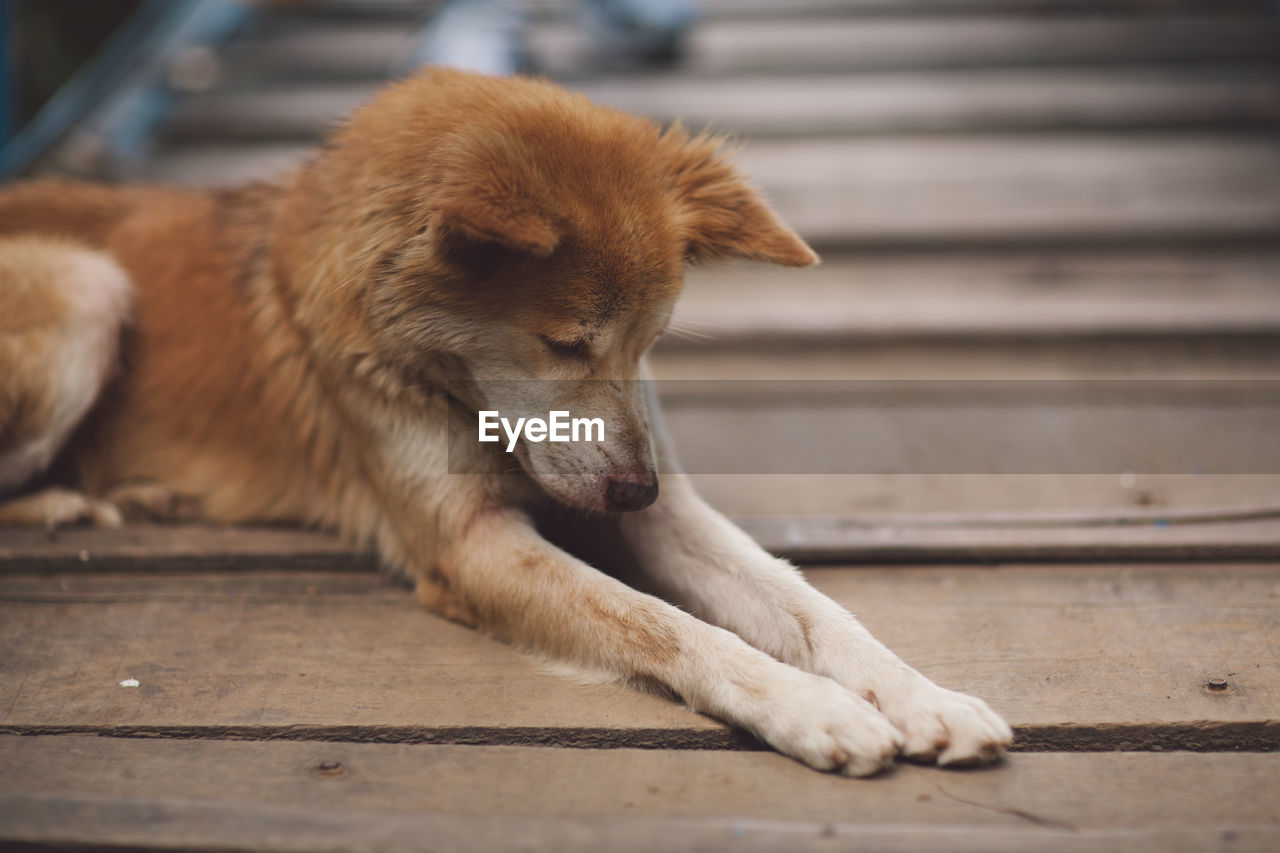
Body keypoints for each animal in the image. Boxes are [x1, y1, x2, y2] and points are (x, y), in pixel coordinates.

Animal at [0, 68, 1008, 768]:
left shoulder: (667, 509)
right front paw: (811, 706)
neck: (437, 375)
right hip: (88, 289)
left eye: (651, 342)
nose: (634, 492)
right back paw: (69, 501)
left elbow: (810, 606)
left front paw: (921, 694)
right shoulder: (472, 545)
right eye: (564, 342)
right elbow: (662, 623)